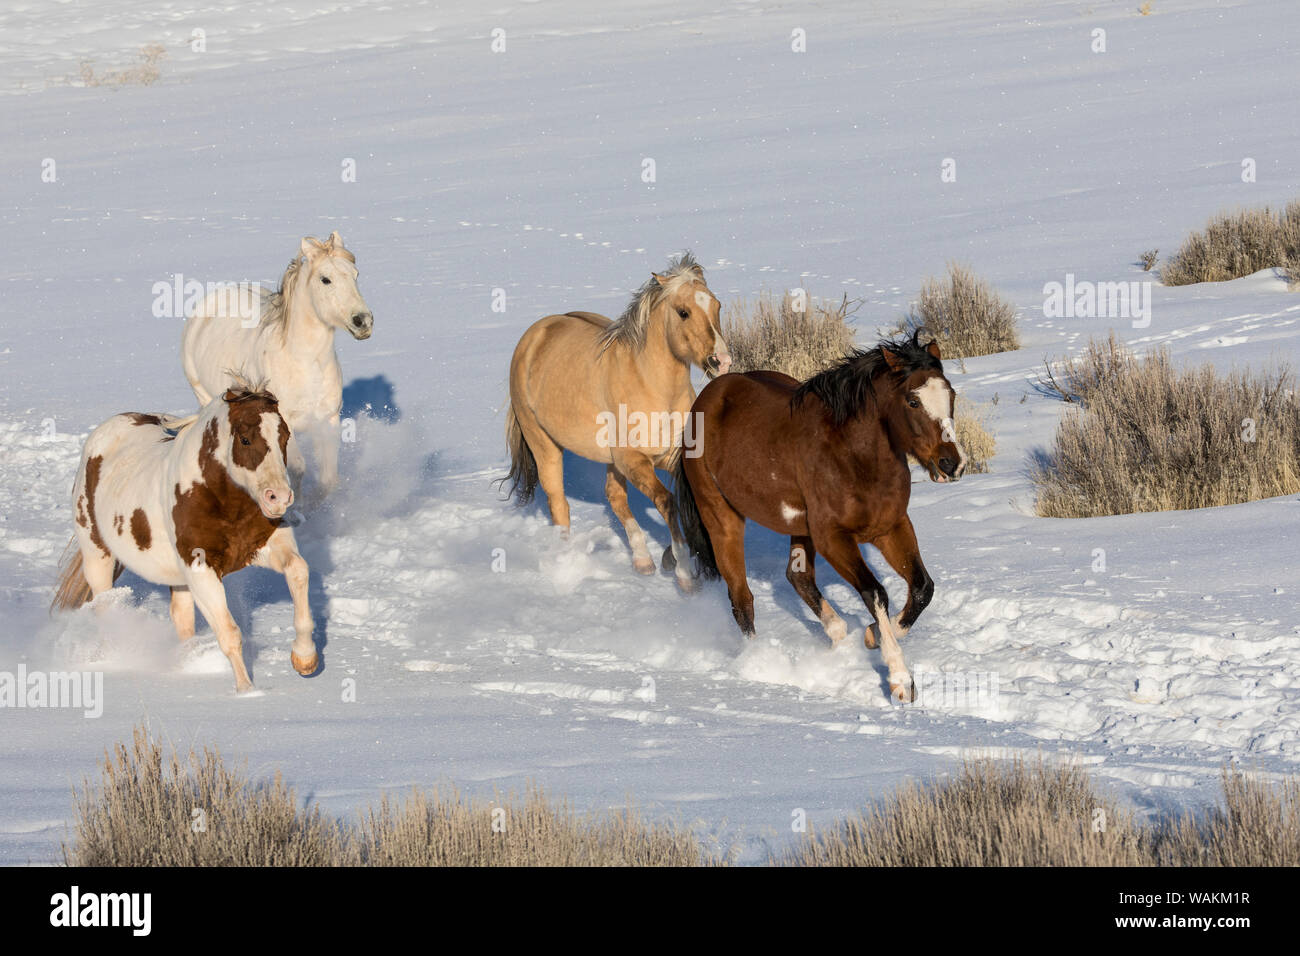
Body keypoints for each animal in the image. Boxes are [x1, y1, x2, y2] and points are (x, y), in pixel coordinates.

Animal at [52, 385, 317, 691]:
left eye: (285, 436)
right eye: (245, 439)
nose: (279, 498)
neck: (221, 499)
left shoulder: (267, 546)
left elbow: (298, 571)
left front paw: (305, 659)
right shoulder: (200, 568)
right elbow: (229, 633)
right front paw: (247, 692)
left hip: (176, 578)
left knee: (181, 619)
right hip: (98, 558)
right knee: (106, 609)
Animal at [179, 231, 371, 504]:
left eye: (356, 274)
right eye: (325, 279)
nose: (363, 321)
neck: (303, 362)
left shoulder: (328, 421)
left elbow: (328, 479)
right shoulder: (283, 422)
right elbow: (297, 469)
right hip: (203, 396)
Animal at [501, 252, 733, 590]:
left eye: (717, 306)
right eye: (683, 312)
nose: (722, 361)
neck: (653, 386)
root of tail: (535, 334)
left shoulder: (672, 457)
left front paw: (672, 557)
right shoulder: (633, 460)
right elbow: (667, 502)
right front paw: (683, 572)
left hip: (610, 460)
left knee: (614, 497)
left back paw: (642, 561)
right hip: (544, 444)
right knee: (559, 503)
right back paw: (567, 563)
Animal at [676, 335, 972, 702]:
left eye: (951, 395)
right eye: (913, 400)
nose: (952, 465)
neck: (854, 455)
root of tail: (704, 401)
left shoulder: (890, 527)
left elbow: (921, 588)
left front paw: (872, 636)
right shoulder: (833, 537)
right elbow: (875, 593)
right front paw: (900, 680)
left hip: (799, 528)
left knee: (798, 578)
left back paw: (838, 637)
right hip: (720, 515)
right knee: (741, 598)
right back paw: (761, 663)